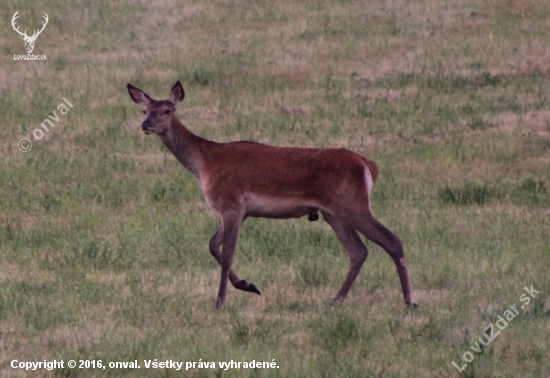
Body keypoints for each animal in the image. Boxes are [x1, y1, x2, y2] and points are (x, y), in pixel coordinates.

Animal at [126, 81, 418, 308]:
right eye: (144, 109)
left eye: (167, 110)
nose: (145, 124)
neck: (204, 163)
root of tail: (368, 165)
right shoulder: (240, 211)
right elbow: (212, 246)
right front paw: (249, 285)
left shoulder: (231, 205)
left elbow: (227, 252)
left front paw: (220, 301)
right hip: (333, 213)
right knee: (358, 251)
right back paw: (336, 300)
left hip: (352, 204)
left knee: (391, 240)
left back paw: (410, 300)